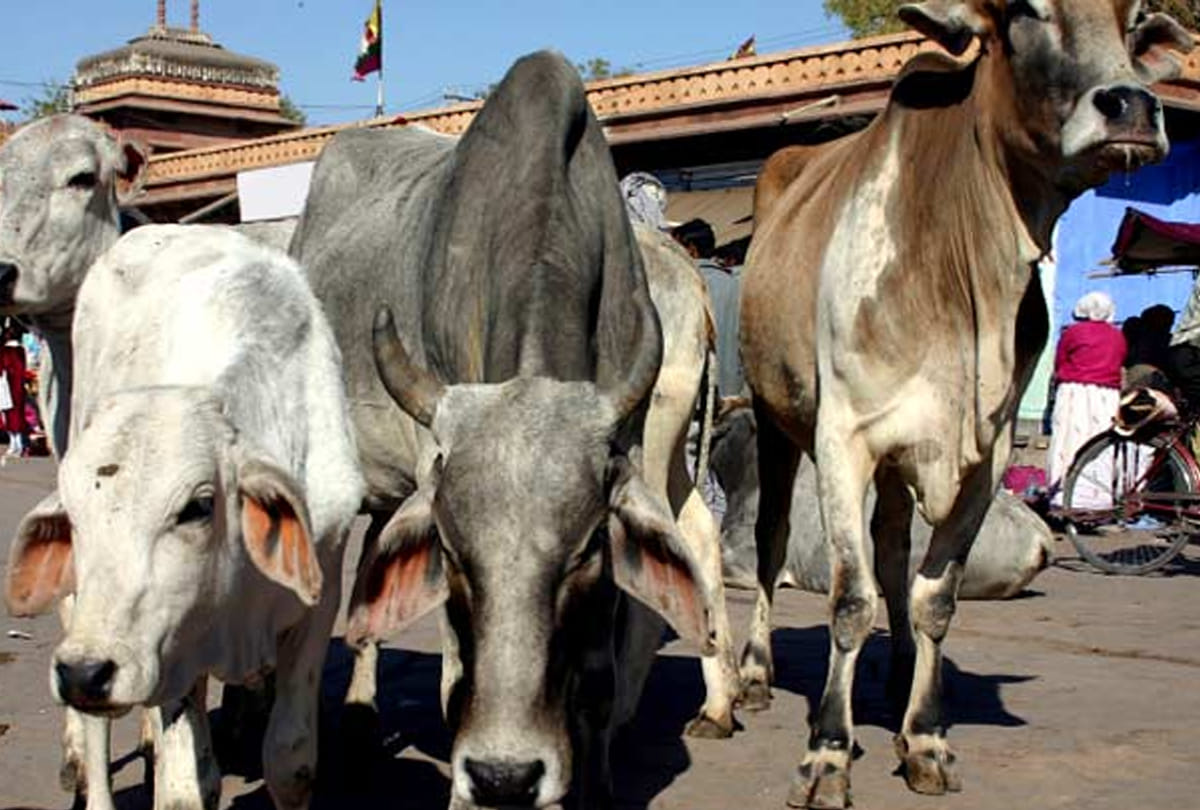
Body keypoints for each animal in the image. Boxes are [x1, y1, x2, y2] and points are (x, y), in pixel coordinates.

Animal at [4, 225, 364, 810]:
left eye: (197, 506)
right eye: (73, 517)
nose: (84, 673)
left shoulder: (321, 591)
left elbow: (291, 760)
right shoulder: (169, 653)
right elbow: (185, 788)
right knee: (96, 731)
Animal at [289, 51, 736, 807]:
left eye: (586, 550)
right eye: (451, 549)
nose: (505, 775)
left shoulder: (626, 456)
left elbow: (596, 675)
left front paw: (597, 783)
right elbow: (452, 681)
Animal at [737, 2, 1193, 807]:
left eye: (1134, 21)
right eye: (1026, 12)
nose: (1134, 107)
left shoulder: (984, 455)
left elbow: (934, 597)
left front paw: (924, 738)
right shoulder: (843, 440)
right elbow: (849, 599)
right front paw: (826, 751)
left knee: (892, 551)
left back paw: (894, 678)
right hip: (774, 417)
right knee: (771, 540)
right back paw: (755, 677)